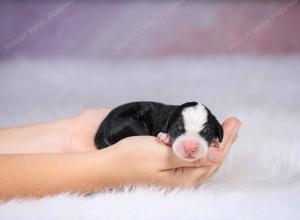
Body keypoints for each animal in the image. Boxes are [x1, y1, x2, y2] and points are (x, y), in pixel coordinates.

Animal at [95, 102, 224, 162]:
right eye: (177, 127)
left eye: (206, 131)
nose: (190, 148)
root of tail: (102, 128)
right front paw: (165, 137)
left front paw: (214, 142)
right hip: (130, 123)